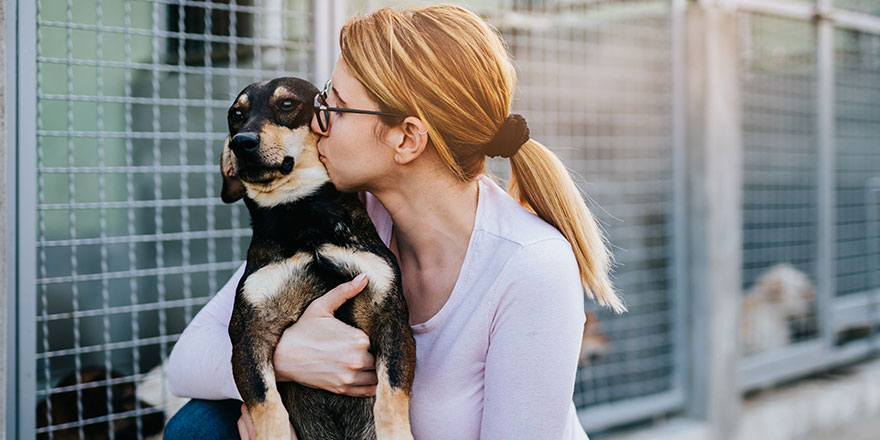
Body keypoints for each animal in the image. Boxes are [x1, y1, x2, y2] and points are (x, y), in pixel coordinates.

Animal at [218, 78, 414, 440]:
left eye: (287, 104)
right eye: (236, 114)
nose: (241, 143)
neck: (302, 217)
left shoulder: (390, 317)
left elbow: (391, 400)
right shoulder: (250, 332)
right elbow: (267, 407)